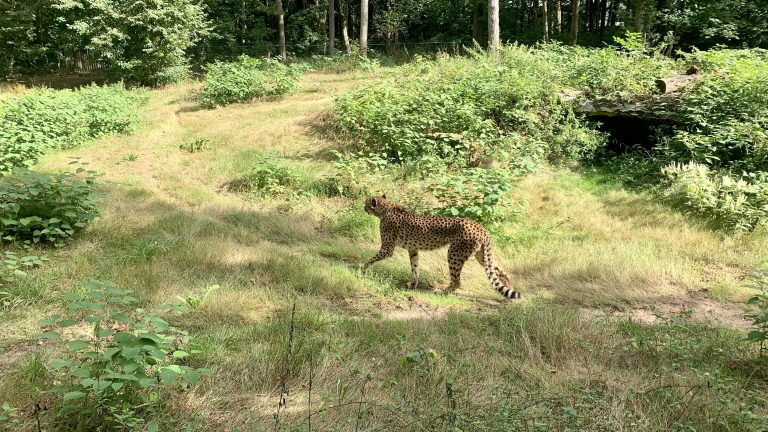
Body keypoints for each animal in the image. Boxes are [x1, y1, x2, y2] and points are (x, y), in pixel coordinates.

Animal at [362, 195, 520, 298]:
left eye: (367, 203)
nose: (363, 208)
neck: (386, 208)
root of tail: (480, 226)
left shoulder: (387, 248)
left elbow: (371, 259)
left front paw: (361, 268)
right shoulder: (413, 249)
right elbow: (415, 267)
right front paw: (413, 284)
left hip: (454, 253)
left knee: (457, 281)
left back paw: (443, 292)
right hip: (481, 255)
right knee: (501, 271)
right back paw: (508, 290)